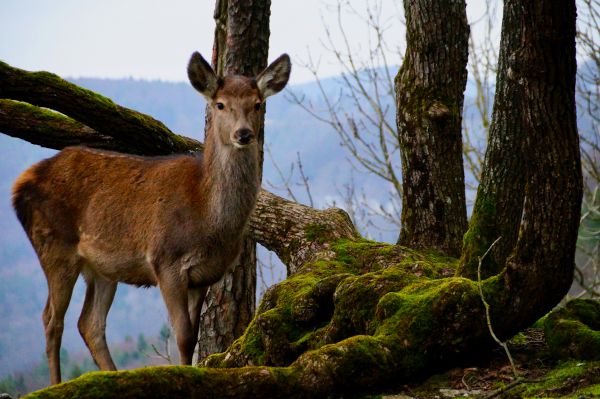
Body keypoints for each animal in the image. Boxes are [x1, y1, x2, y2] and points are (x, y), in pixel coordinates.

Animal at [9, 50, 290, 384]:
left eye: (258, 103)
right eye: (220, 104)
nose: (243, 133)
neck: (207, 217)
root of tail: (19, 185)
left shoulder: (204, 276)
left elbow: (194, 336)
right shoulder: (165, 261)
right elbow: (182, 334)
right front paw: (184, 375)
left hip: (102, 268)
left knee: (89, 323)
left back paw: (111, 376)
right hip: (53, 245)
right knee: (52, 318)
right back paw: (55, 383)